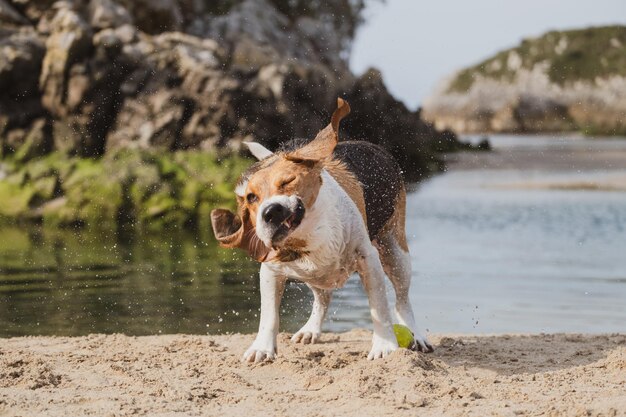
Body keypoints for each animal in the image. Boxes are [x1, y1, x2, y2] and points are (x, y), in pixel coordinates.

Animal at [210, 97, 428, 360]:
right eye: (251, 197)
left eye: (288, 181)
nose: (271, 211)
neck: (310, 234)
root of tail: (374, 147)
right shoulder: (270, 270)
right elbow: (269, 316)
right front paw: (262, 347)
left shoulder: (369, 260)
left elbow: (380, 308)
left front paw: (384, 345)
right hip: (316, 276)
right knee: (323, 297)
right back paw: (310, 329)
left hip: (396, 254)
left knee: (402, 300)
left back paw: (416, 335)